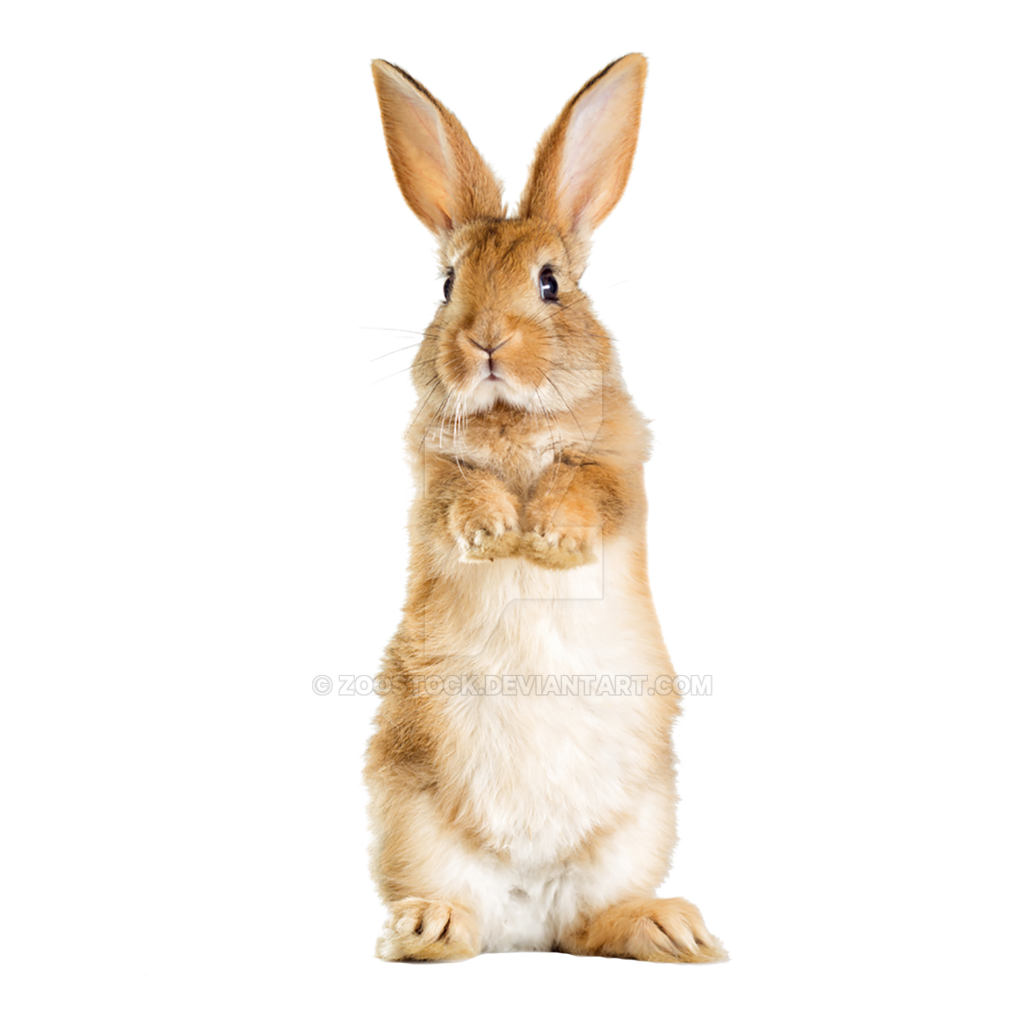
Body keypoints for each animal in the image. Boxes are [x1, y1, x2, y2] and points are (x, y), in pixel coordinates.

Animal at [361, 53, 729, 965]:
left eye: (551, 284)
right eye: (446, 285)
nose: (486, 340)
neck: (513, 420)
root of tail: (526, 917)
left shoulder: (618, 470)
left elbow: (584, 491)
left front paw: (549, 540)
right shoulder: (433, 477)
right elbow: (461, 496)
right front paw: (498, 533)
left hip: (638, 831)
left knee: (594, 923)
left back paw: (673, 930)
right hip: (406, 814)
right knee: (460, 914)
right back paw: (428, 927)